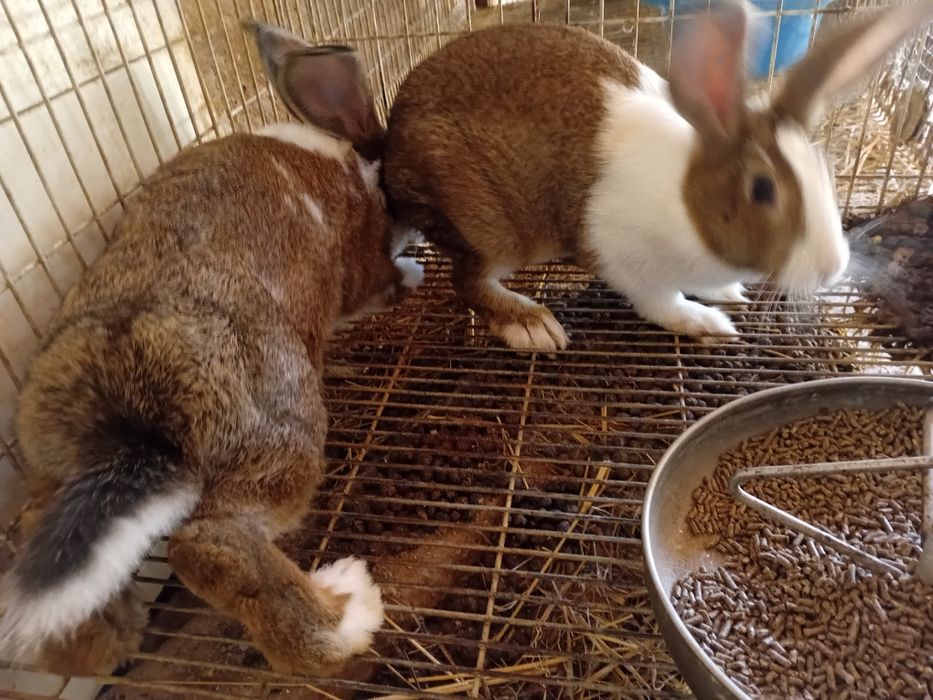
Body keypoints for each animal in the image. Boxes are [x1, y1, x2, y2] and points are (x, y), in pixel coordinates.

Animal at [0, 21, 423, 678]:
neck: (349, 158)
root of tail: (126, 403)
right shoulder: (361, 264)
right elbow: (378, 280)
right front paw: (412, 273)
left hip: (54, 471)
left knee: (39, 546)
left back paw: (116, 635)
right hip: (275, 436)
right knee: (213, 545)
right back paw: (348, 606)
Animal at [383, 0, 933, 351]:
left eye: (825, 169)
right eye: (762, 189)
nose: (833, 269)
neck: (689, 205)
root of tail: (391, 151)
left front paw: (728, 294)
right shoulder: (626, 262)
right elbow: (660, 303)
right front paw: (707, 322)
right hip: (493, 228)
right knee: (468, 280)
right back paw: (533, 325)